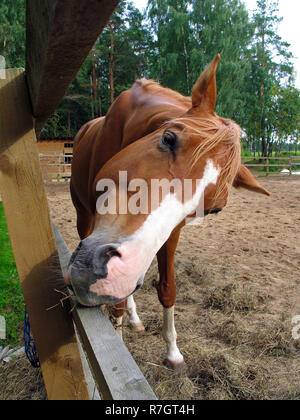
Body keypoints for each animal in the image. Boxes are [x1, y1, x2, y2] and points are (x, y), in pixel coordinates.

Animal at [65, 55, 270, 368]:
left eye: (213, 209)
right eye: (169, 139)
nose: (117, 274)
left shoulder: (170, 234)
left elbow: (167, 289)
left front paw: (173, 352)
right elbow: (118, 303)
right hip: (83, 216)